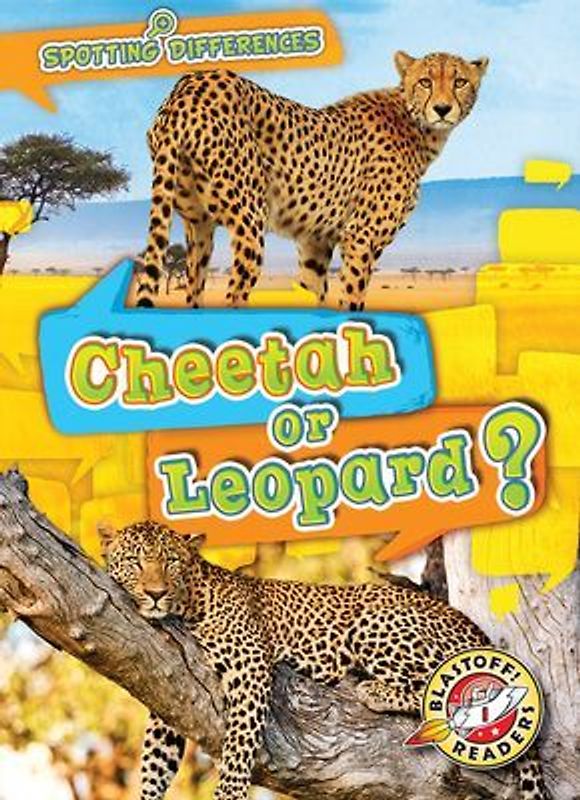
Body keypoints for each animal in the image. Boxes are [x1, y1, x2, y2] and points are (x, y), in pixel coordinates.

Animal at [98, 520, 550, 800]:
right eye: (135, 561)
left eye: (171, 562)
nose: (155, 593)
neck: (189, 602)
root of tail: (478, 631)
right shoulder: (170, 684)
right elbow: (155, 759)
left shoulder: (250, 668)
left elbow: (239, 747)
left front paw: (228, 793)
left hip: (374, 621)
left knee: (452, 691)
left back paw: (373, 690)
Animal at [135, 51, 488, 311]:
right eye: (426, 81)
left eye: (459, 81)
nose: (442, 108)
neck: (417, 126)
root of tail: (188, 86)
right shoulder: (360, 237)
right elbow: (353, 299)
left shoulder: (315, 242)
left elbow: (312, 291)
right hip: (249, 223)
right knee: (235, 293)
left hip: (198, 225)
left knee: (194, 289)